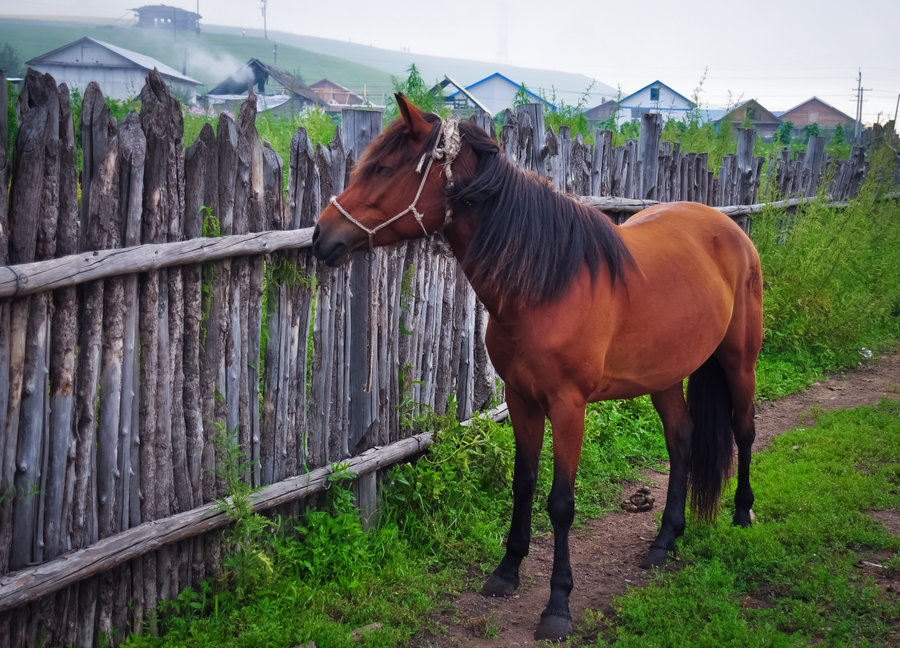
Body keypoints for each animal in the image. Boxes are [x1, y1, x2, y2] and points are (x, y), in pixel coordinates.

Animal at [312, 95, 764, 636]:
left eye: (382, 169)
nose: (321, 236)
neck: (545, 282)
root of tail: (729, 229)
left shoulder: (569, 408)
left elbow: (561, 503)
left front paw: (557, 605)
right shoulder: (522, 400)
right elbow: (522, 483)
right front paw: (507, 571)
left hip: (739, 362)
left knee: (744, 431)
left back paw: (742, 515)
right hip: (664, 377)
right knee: (682, 441)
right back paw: (664, 541)